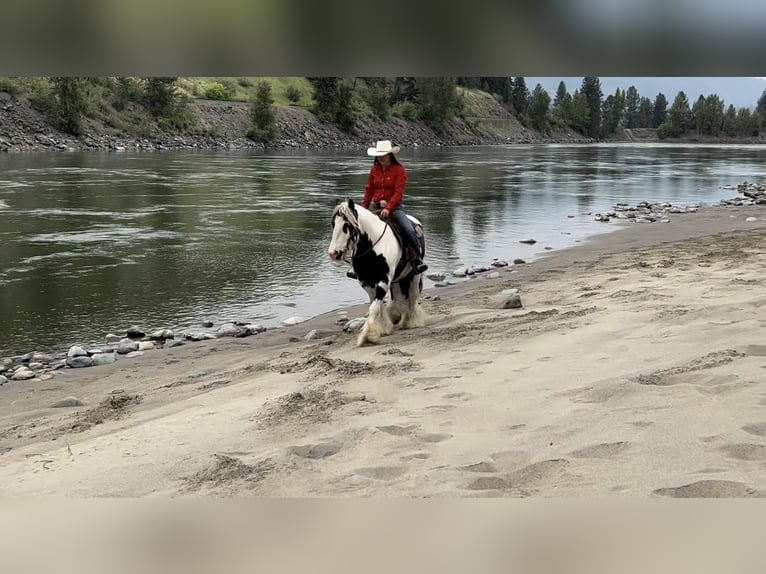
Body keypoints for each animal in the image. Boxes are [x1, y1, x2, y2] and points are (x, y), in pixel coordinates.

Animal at [328, 200, 428, 348]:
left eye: (347, 225)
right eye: (334, 224)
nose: (333, 253)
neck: (373, 247)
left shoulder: (383, 281)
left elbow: (374, 307)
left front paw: (367, 337)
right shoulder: (367, 282)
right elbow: (375, 305)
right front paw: (383, 328)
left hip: (414, 276)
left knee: (412, 297)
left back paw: (411, 321)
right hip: (396, 280)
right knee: (396, 297)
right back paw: (396, 316)